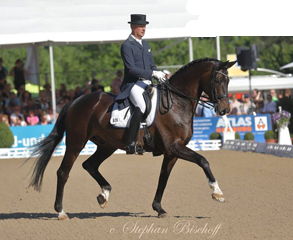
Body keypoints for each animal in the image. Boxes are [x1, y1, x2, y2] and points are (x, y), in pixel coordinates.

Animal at [27, 57, 236, 219]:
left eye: (228, 81)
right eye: (218, 79)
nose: (225, 109)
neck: (177, 103)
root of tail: (75, 101)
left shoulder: (171, 153)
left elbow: (163, 178)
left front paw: (159, 208)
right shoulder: (174, 147)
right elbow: (203, 160)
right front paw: (217, 192)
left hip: (107, 145)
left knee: (90, 165)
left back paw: (104, 195)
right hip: (76, 143)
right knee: (63, 172)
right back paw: (61, 211)